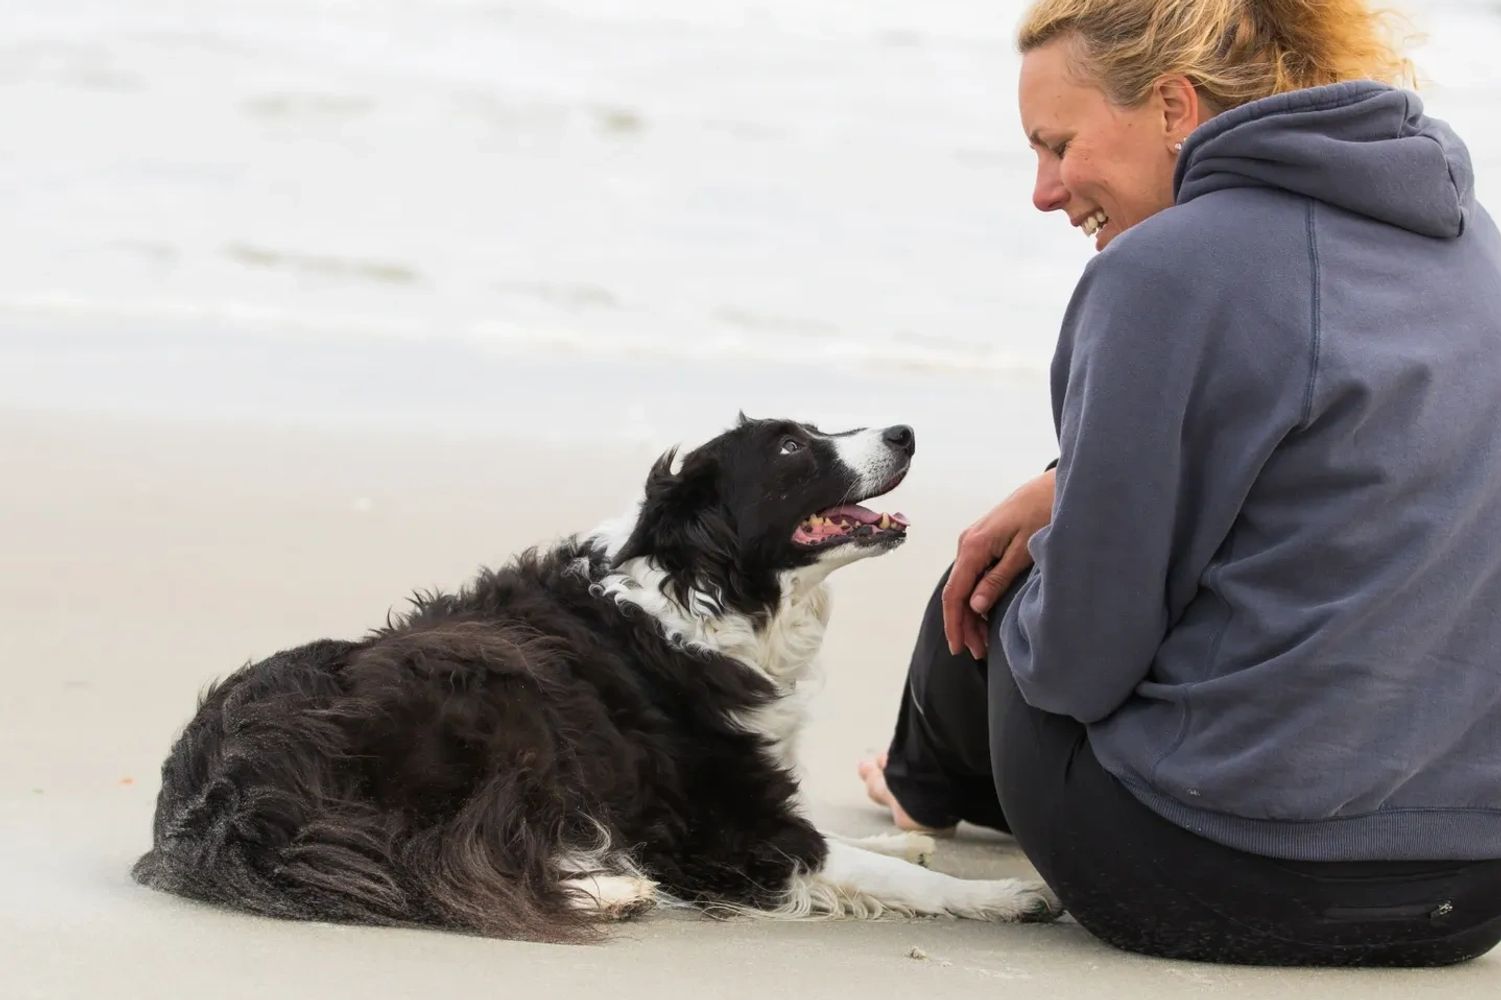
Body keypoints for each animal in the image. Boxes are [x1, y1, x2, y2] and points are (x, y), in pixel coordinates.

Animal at [138, 411, 1056, 936]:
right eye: (793, 446)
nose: (904, 433)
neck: (704, 588)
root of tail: (215, 793)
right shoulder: (730, 831)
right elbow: (874, 871)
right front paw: (1003, 898)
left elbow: (863, 845)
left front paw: (905, 834)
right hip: (490, 702)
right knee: (438, 866)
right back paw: (615, 891)